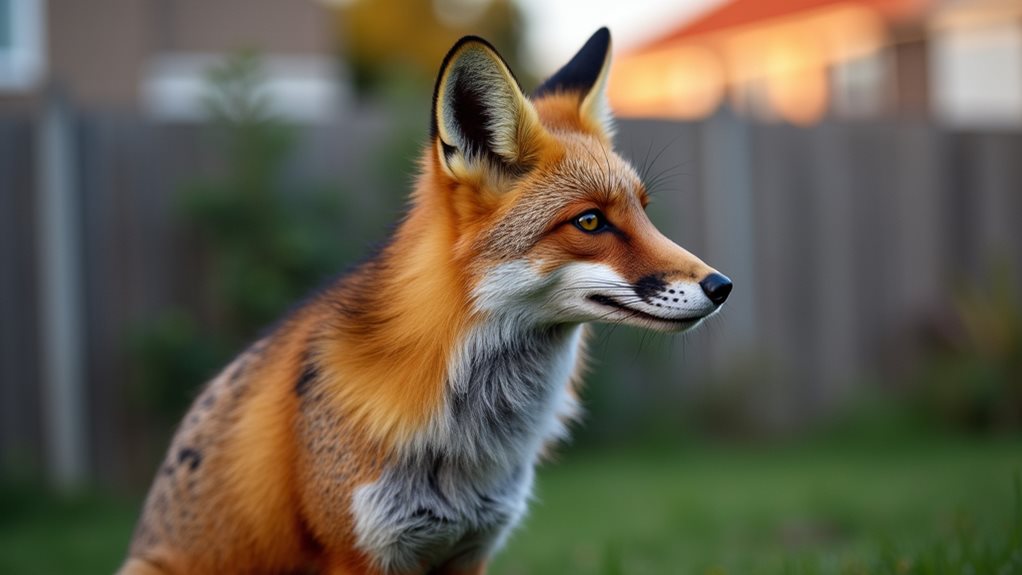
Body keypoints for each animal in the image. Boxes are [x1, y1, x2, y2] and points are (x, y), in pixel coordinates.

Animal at [119, 28, 732, 575]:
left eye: (644, 212)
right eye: (589, 222)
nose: (722, 286)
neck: (465, 438)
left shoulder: (471, 548)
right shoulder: (361, 556)